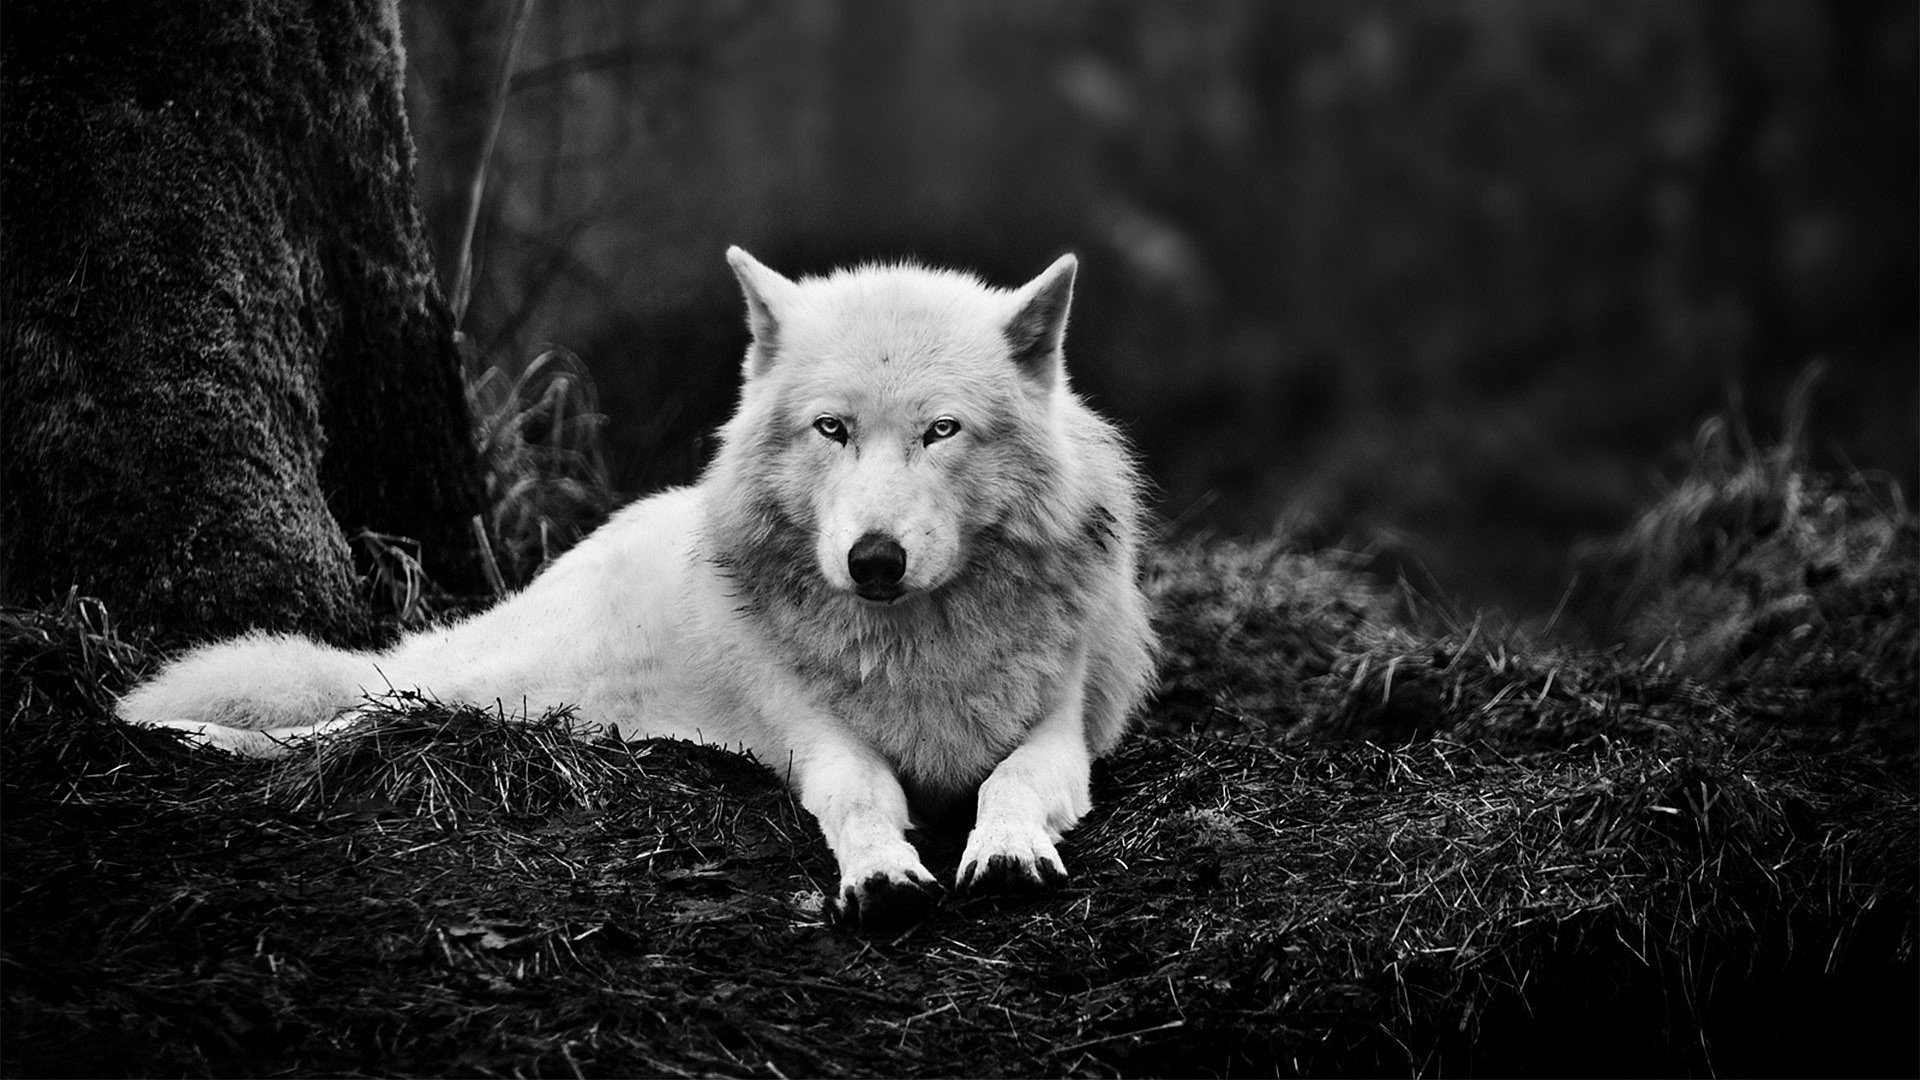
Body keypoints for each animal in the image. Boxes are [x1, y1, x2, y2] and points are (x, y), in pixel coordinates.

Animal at [127, 247, 1159, 930]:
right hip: (487, 690)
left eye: (942, 430)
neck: (914, 643)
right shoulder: (819, 741)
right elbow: (861, 797)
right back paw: (182, 732)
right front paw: (879, 874)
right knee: (350, 713)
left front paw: (1007, 849)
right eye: (832, 429)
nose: (874, 560)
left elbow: (1012, 781)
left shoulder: (1062, 734)